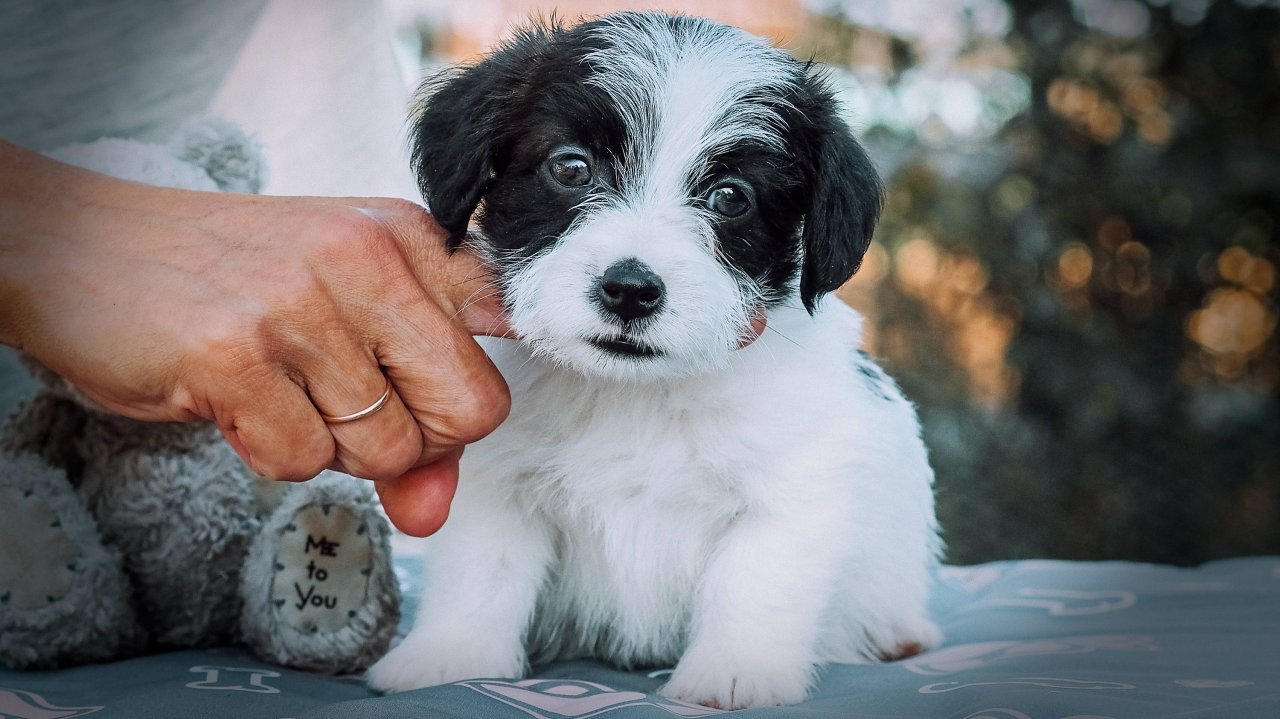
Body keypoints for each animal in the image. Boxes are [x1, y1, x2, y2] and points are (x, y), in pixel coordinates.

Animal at [368, 11, 942, 706]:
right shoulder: (500, 488)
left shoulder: (791, 491)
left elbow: (756, 583)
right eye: (571, 167)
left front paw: (733, 672)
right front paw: (450, 657)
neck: (633, 392)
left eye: (731, 196)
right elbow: (479, 576)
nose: (630, 289)